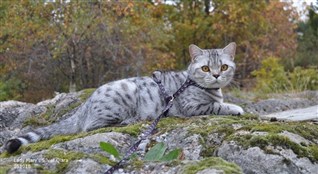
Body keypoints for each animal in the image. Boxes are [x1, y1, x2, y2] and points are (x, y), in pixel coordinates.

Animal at [2, 42, 243, 154]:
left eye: (223, 66)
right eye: (205, 68)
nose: (216, 75)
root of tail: (84, 106)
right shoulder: (193, 106)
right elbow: (217, 106)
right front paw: (235, 108)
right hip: (121, 98)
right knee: (90, 127)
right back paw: (128, 121)